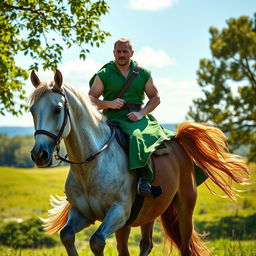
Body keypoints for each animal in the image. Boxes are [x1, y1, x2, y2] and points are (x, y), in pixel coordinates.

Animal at [29, 70, 249, 256]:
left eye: (57, 109)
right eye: (32, 110)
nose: (39, 154)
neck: (92, 165)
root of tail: (178, 142)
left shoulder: (118, 212)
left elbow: (97, 240)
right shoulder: (82, 213)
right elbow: (67, 235)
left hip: (184, 208)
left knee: (185, 247)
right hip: (145, 216)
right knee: (144, 245)